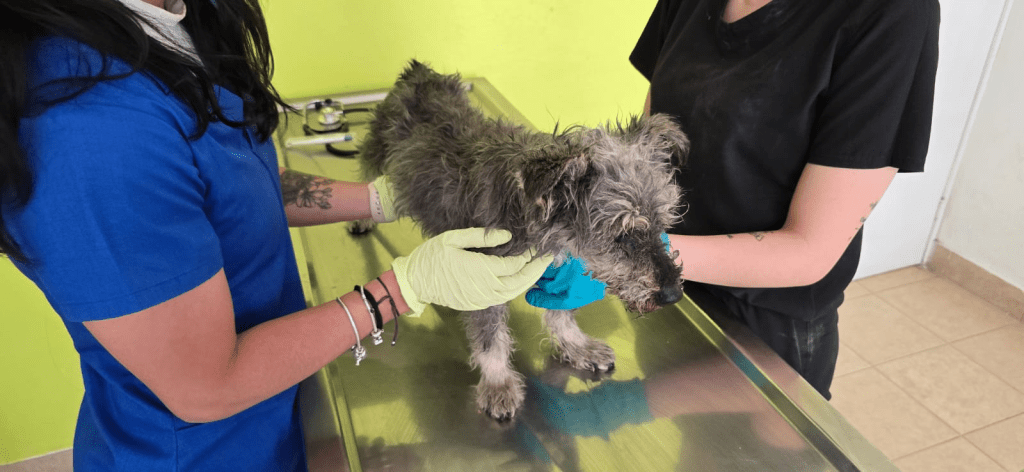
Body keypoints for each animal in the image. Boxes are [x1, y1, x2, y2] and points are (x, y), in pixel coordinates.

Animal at [354, 60, 688, 421]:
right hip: (376, 147)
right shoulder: (482, 281)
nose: (673, 294)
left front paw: (577, 346)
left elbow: (561, 316)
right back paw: (362, 215)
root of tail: (420, 72)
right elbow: (491, 341)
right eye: (623, 235)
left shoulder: (557, 276)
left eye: (663, 225)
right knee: (364, 178)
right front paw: (498, 384)